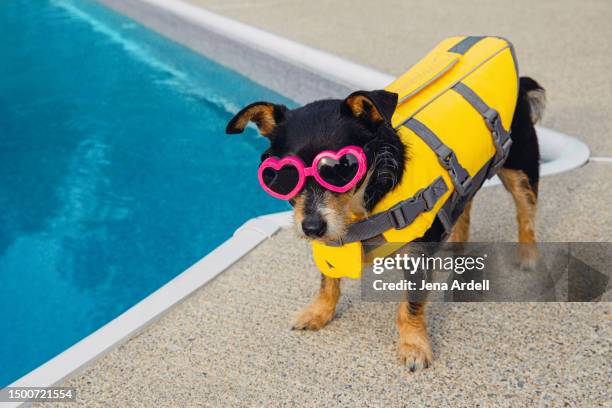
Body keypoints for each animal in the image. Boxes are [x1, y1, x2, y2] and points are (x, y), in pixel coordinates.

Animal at [226, 75, 544, 370]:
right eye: (284, 175)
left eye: (342, 168)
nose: (312, 228)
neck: (360, 205)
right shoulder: (329, 241)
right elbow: (328, 282)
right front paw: (319, 313)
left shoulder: (415, 255)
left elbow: (409, 306)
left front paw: (413, 346)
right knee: (465, 204)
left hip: (519, 165)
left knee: (525, 212)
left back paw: (528, 256)